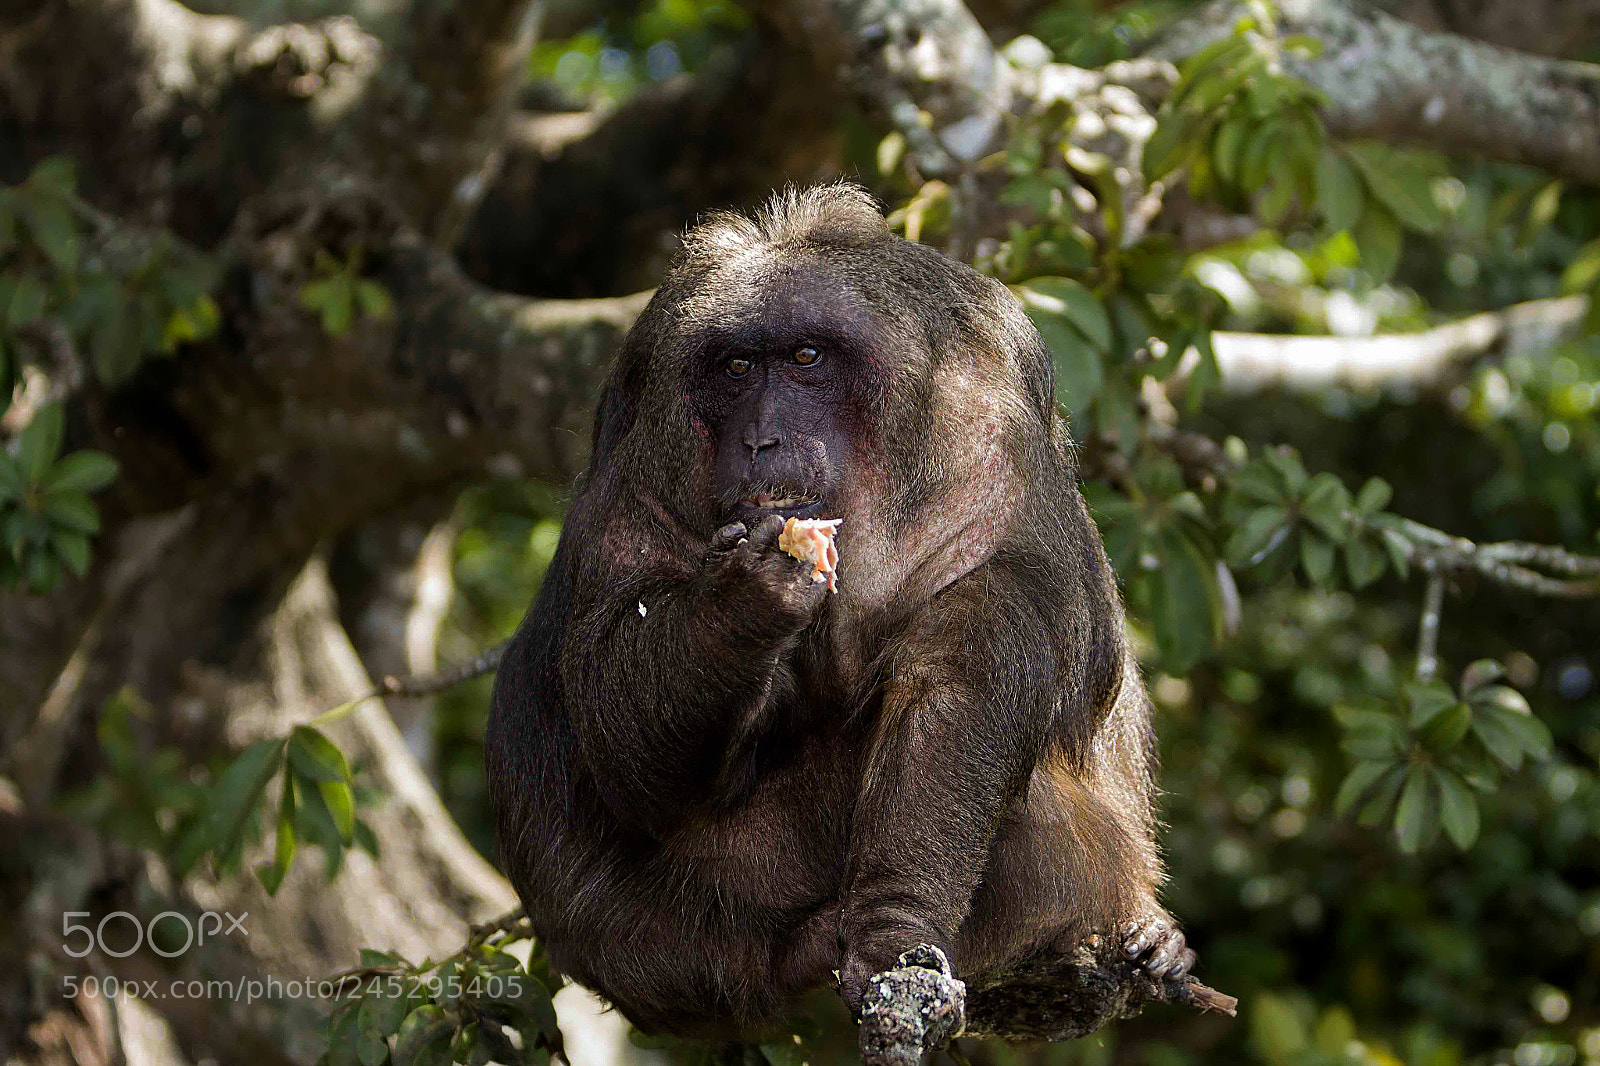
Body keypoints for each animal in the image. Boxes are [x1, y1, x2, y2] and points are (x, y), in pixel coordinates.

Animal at [485, 184, 1194, 1040]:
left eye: (805, 360)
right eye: (737, 367)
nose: (762, 437)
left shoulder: (987, 435)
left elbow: (964, 668)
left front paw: (896, 923)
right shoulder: (644, 452)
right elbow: (614, 725)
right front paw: (740, 601)